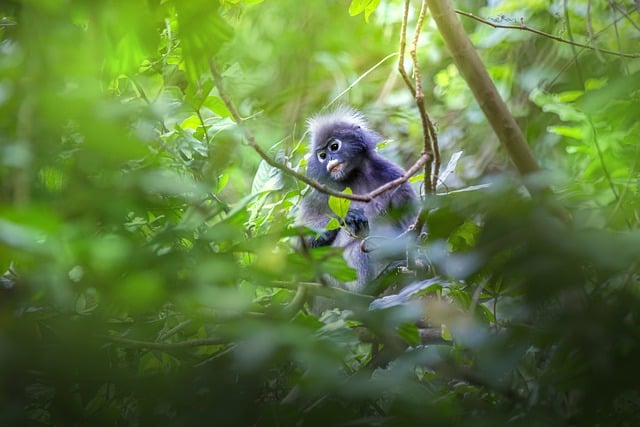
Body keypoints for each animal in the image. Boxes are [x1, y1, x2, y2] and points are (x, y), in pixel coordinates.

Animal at [296, 107, 418, 306]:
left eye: (334, 147)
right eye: (322, 156)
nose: (329, 159)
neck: (354, 175)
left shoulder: (395, 176)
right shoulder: (319, 191)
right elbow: (300, 246)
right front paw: (347, 216)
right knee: (355, 229)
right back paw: (367, 289)